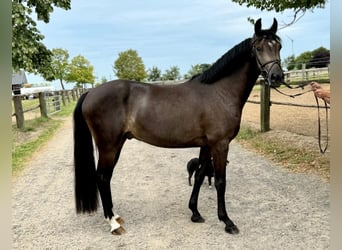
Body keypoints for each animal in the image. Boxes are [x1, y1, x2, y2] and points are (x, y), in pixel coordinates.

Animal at [73, 18, 284, 235]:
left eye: (278, 46)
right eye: (258, 48)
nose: (276, 77)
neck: (220, 92)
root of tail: (90, 93)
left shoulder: (206, 144)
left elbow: (199, 175)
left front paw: (195, 213)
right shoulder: (220, 144)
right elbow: (220, 181)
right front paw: (227, 221)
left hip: (117, 144)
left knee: (105, 177)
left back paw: (115, 217)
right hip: (109, 146)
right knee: (102, 177)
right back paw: (113, 224)